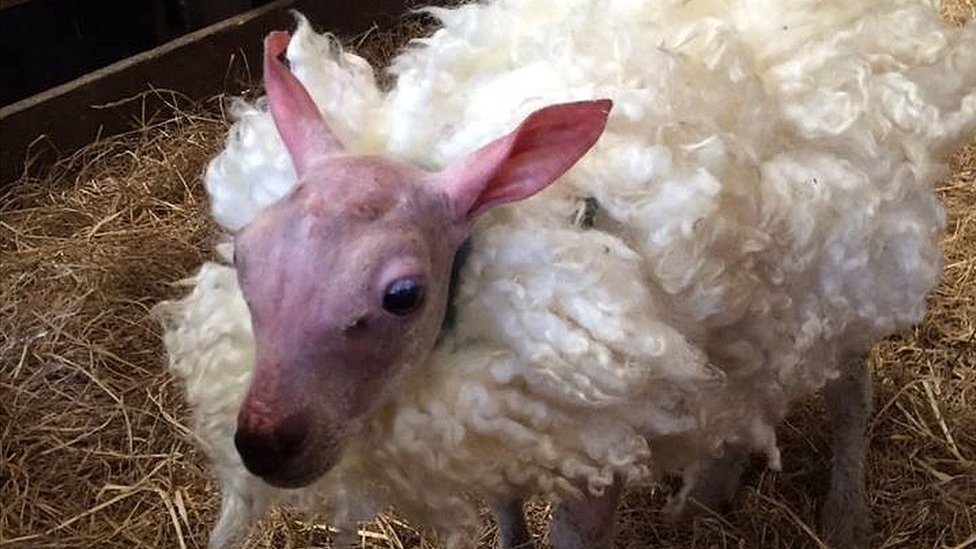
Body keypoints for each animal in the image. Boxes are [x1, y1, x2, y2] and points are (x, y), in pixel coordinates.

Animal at [154, 0, 976, 544]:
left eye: (402, 295)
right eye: (248, 255)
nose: (262, 443)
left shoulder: (596, 441)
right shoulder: (504, 428)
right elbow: (507, 521)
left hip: (849, 263)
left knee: (850, 380)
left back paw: (844, 511)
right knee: (746, 392)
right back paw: (711, 487)